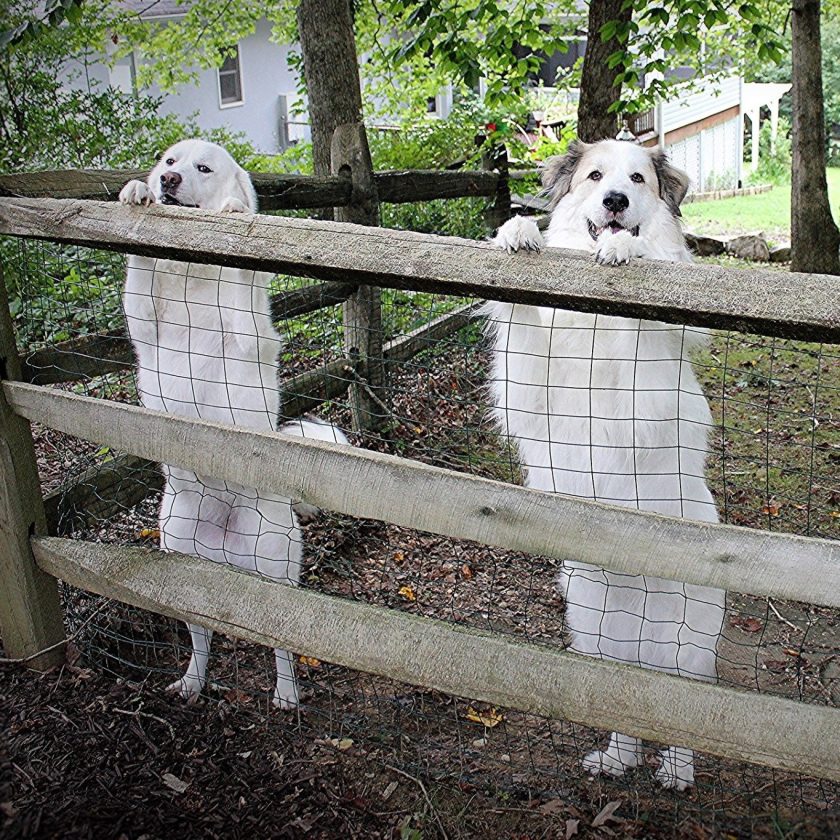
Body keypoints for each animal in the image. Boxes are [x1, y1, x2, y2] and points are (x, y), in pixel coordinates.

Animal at [116, 138, 346, 708]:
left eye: (204, 168)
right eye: (169, 162)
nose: (167, 182)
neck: (194, 274)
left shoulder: (247, 336)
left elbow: (242, 279)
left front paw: (235, 212)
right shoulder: (144, 327)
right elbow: (138, 269)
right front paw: (135, 194)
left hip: (276, 573)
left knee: (282, 645)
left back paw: (285, 694)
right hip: (183, 566)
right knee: (202, 638)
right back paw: (192, 682)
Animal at [488, 136, 724, 788]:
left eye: (637, 179)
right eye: (595, 176)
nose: (615, 201)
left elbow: (647, 269)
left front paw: (624, 245)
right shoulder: (530, 382)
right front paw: (519, 231)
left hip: (686, 648)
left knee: (681, 717)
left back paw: (675, 772)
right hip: (596, 636)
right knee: (623, 705)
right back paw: (617, 760)